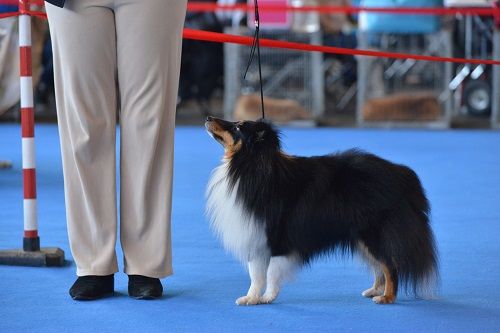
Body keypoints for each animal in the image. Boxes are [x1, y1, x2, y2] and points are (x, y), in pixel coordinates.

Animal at [204, 116, 438, 304]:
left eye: (238, 127)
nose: (208, 117)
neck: (250, 166)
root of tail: (403, 174)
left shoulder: (276, 238)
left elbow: (270, 273)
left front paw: (267, 298)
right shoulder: (256, 236)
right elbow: (256, 275)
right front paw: (250, 299)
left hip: (374, 233)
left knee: (390, 265)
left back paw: (387, 297)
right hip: (361, 237)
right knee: (380, 266)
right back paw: (374, 291)